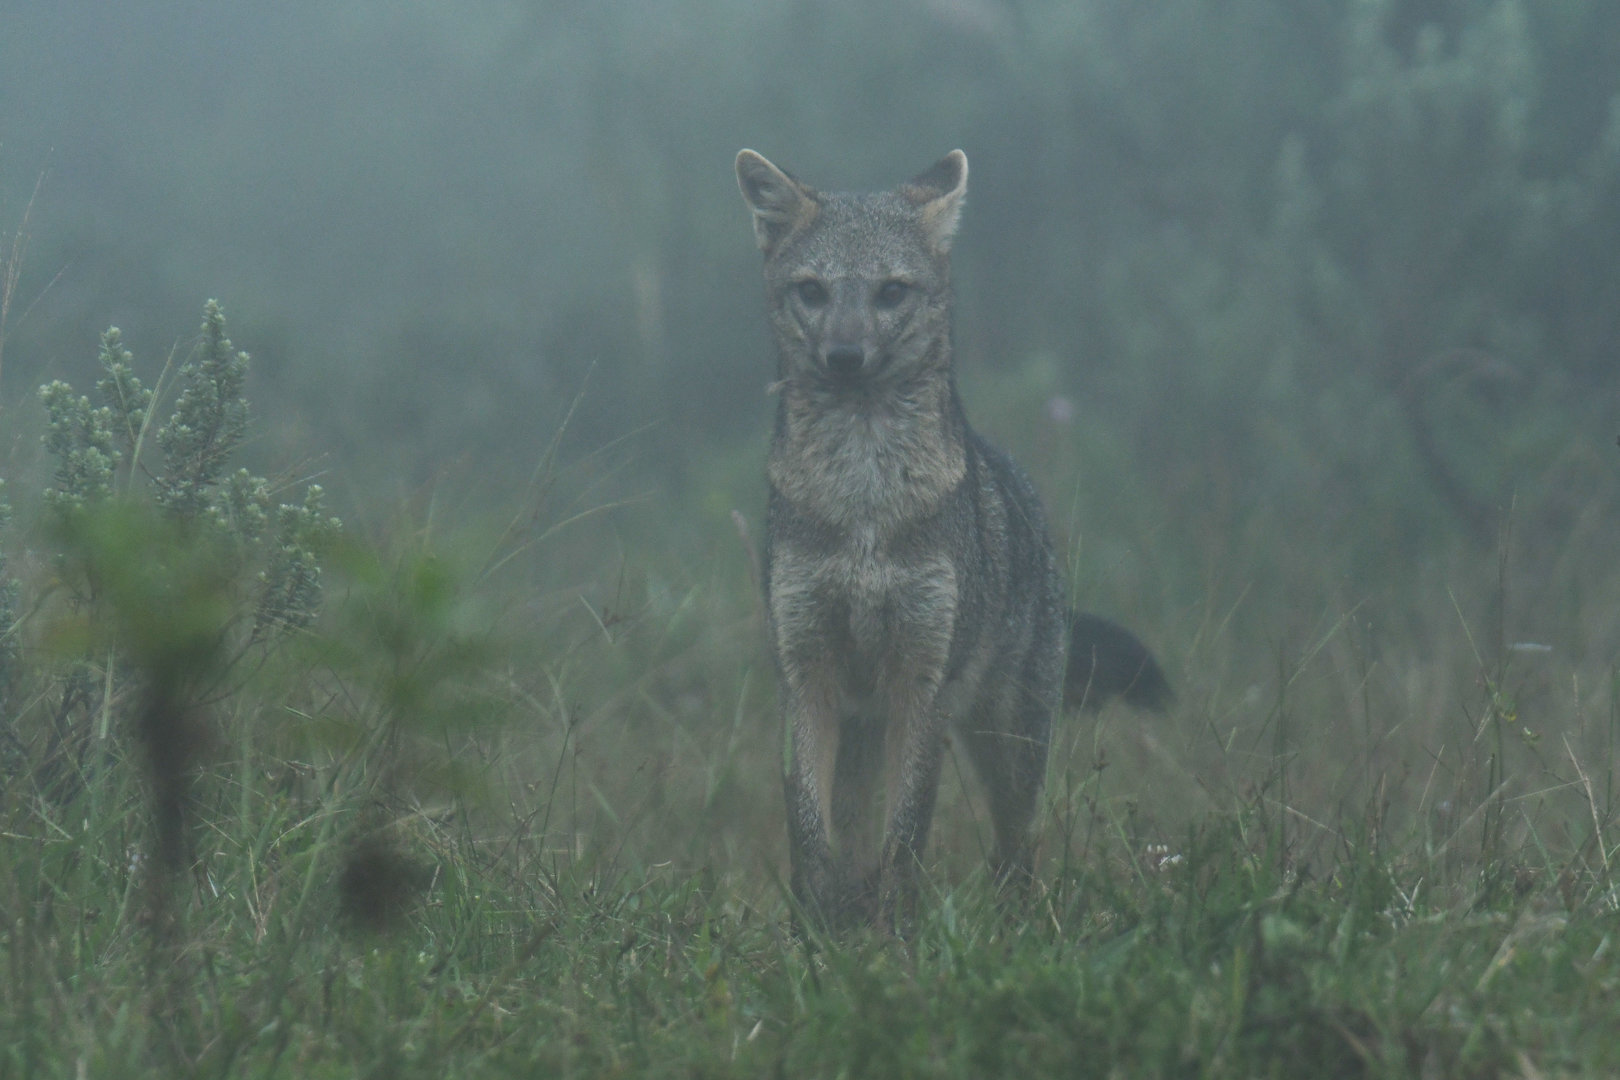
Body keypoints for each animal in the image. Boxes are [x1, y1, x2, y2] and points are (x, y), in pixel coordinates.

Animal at [736, 148, 1169, 931]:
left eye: (890, 291)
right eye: (813, 291)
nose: (844, 355)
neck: (863, 503)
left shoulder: (923, 681)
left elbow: (909, 829)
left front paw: (896, 931)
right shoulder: (805, 674)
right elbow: (809, 824)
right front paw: (814, 925)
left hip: (1009, 748)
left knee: (1018, 852)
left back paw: (1009, 922)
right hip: (868, 726)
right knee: (856, 825)